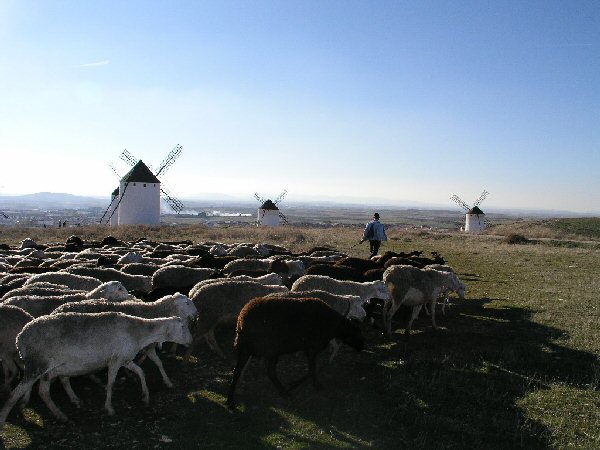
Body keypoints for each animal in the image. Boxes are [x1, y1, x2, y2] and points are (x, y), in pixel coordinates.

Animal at [226, 296, 364, 408]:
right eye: (357, 333)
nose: (362, 347)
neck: (334, 325)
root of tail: (242, 322)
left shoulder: (307, 348)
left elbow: (311, 368)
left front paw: (296, 383)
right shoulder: (312, 347)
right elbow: (312, 368)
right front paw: (315, 385)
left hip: (246, 348)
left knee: (237, 371)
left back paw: (230, 401)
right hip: (270, 349)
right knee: (270, 372)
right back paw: (284, 392)